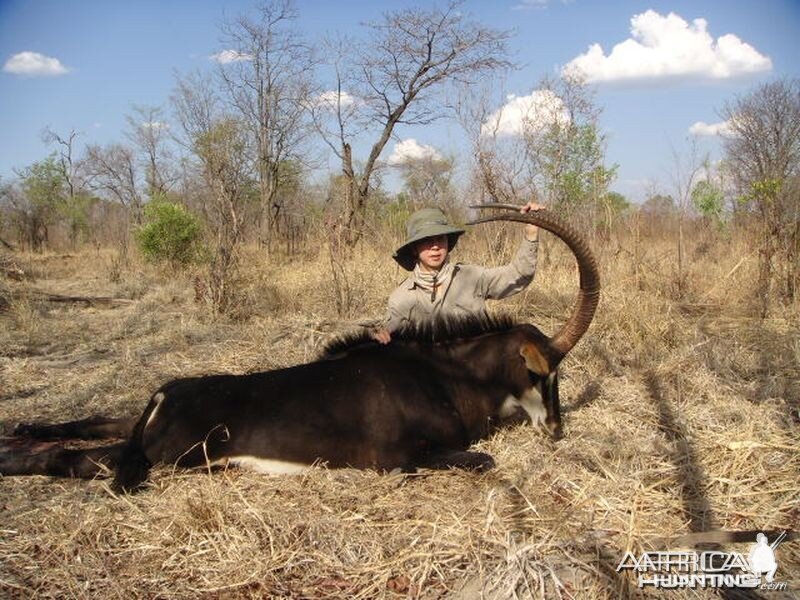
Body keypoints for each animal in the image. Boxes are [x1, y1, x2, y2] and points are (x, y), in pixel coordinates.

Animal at [1, 204, 600, 490]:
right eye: (544, 373)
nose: (557, 431)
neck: (445, 377)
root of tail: (165, 392)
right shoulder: (397, 460)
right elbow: (483, 458)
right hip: (168, 457)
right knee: (71, 458)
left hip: (139, 432)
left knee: (90, 422)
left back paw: (22, 427)